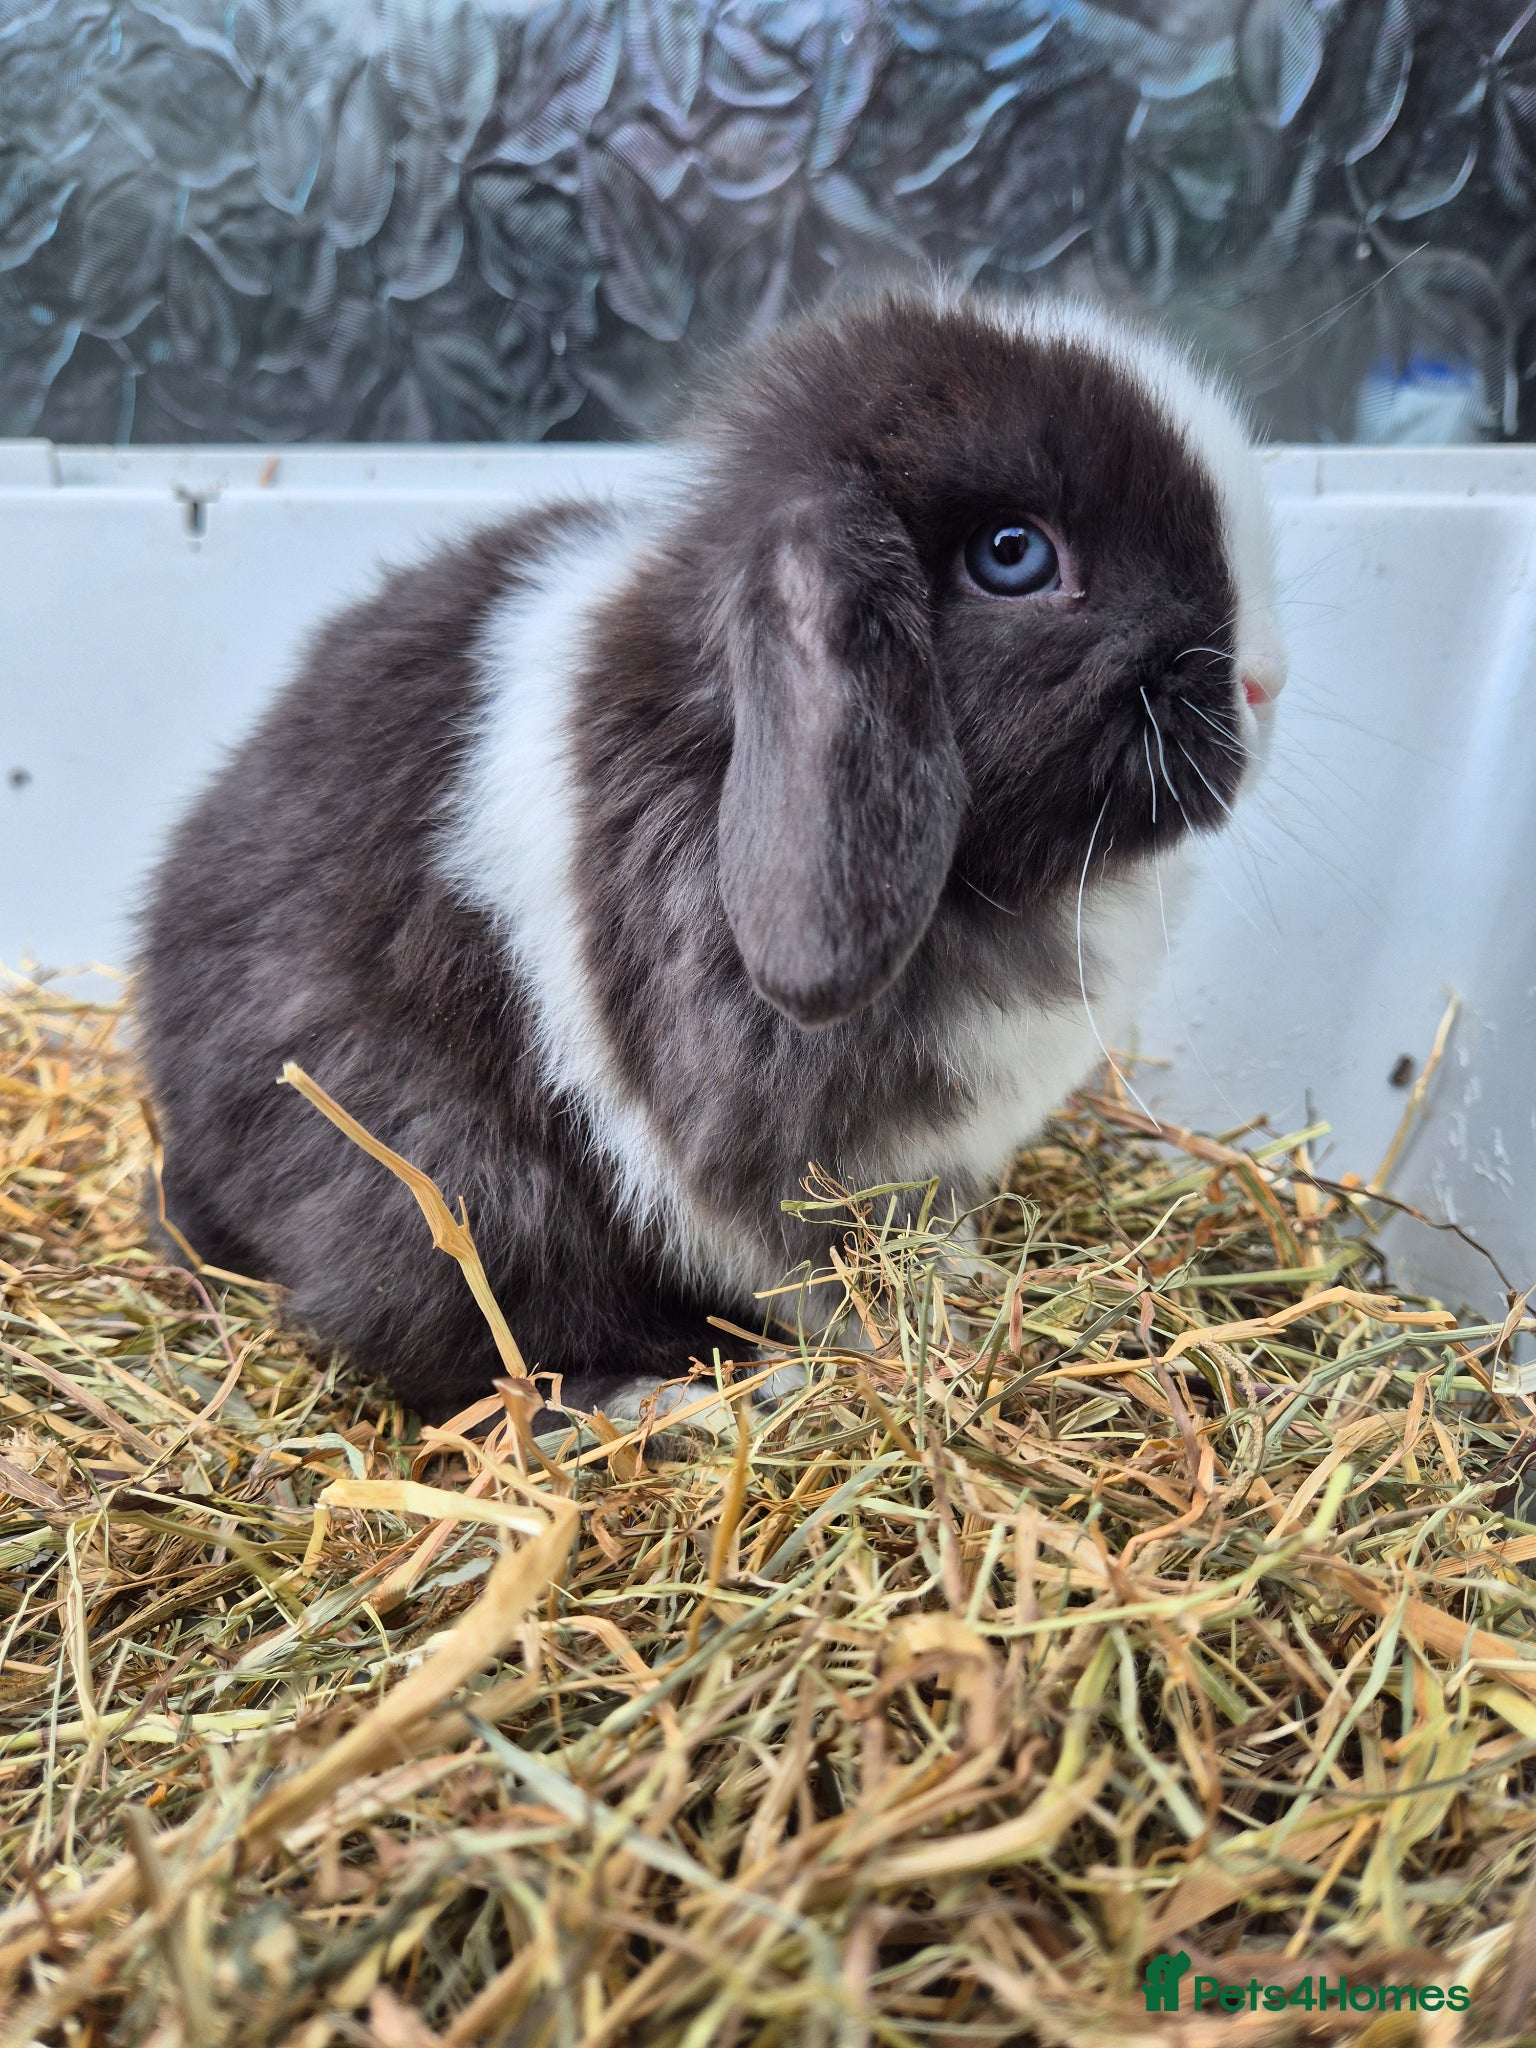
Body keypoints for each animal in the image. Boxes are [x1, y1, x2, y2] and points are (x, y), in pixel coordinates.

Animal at [136, 286, 1286, 1422]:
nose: (1264, 681)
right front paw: (921, 1348)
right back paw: (686, 1396)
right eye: (1014, 554)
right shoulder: (762, 1151)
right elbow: (813, 1266)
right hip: (446, 1175)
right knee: (479, 1353)